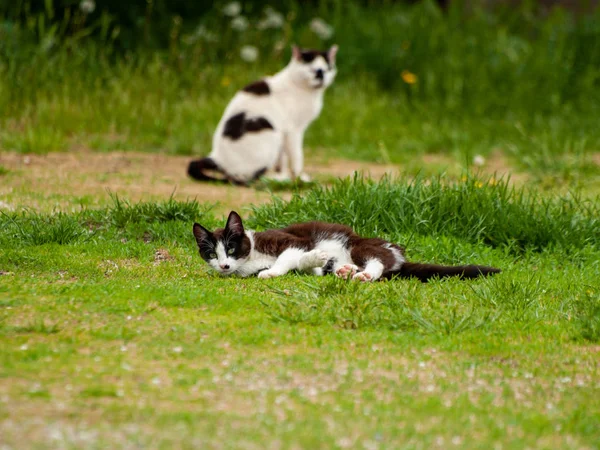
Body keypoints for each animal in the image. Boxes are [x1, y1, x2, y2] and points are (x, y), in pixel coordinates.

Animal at [188, 45, 338, 185]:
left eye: (326, 70)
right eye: (313, 71)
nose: (321, 78)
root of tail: (217, 157)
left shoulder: (284, 133)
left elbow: (282, 160)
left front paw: (283, 174)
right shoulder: (293, 131)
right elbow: (297, 156)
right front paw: (299, 177)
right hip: (271, 133)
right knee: (245, 178)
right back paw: (272, 180)